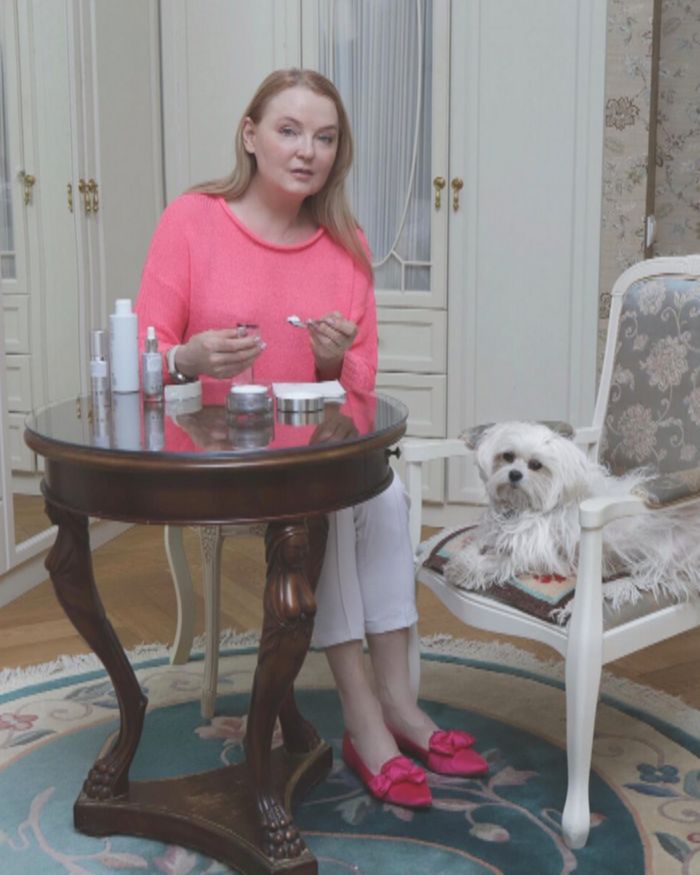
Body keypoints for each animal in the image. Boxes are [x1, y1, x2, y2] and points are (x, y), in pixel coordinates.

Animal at [444, 421, 700, 611]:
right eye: (507, 456)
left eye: (536, 465)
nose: (514, 474)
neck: (521, 510)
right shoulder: (493, 536)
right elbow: (476, 546)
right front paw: (463, 561)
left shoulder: (534, 552)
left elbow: (498, 561)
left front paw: (470, 570)